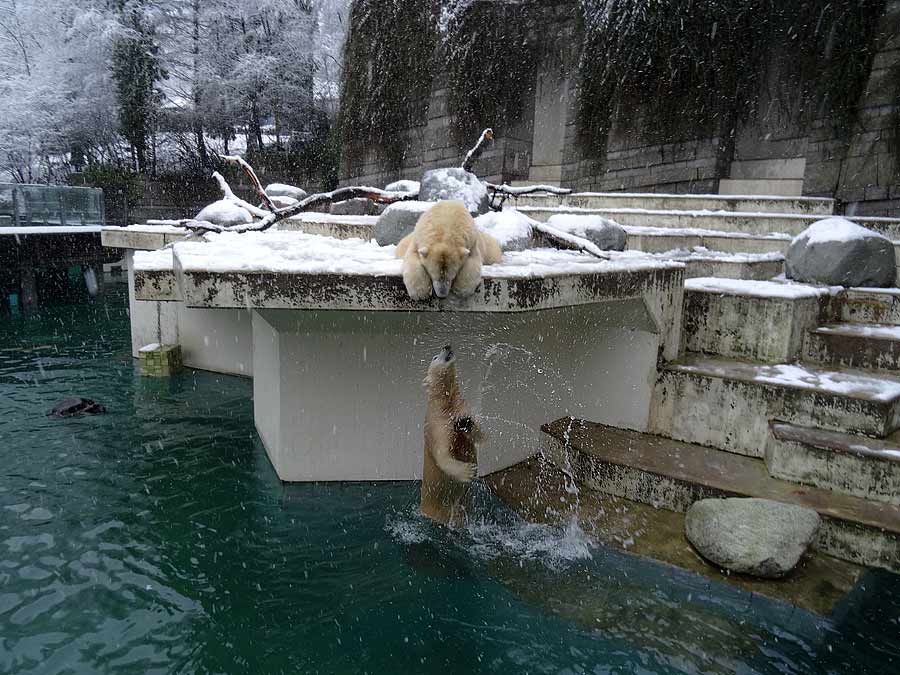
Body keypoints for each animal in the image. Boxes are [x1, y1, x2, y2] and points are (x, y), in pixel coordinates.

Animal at [418, 344, 482, 528]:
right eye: (434, 357)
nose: (446, 346)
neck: (445, 406)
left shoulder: (461, 407)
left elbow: (478, 435)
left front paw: (465, 422)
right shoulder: (436, 425)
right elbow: (442, 454)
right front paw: (467, 471)